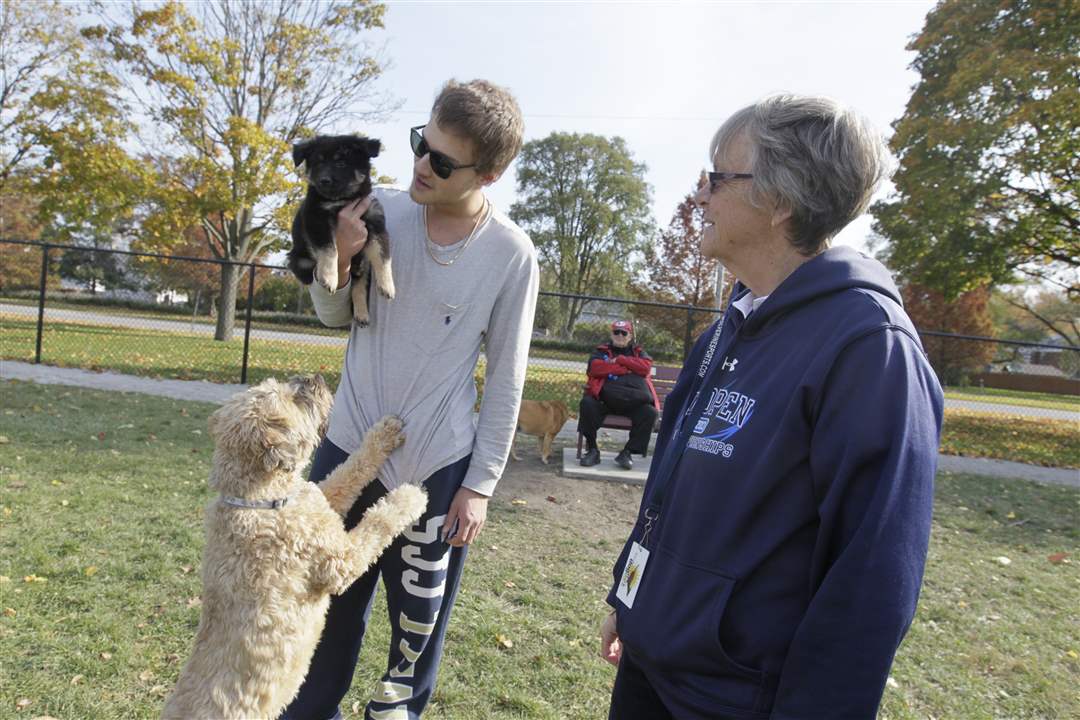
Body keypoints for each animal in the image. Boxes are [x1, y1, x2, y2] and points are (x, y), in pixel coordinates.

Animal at [162, 377, 427, 720]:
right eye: (292, 399)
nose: (312, 379)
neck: (258, 499)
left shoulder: (321, 499)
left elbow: (350, 470)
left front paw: (384, 433)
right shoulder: (340, 561)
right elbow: (378, 522)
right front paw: (409, 498)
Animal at [289, 134, 395, 325]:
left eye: (341, 163)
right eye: (318, 163)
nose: (324, 180)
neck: (344, 199)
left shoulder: (376, 223)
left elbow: (383, 257)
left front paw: (387, 285)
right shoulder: (317, 219)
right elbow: (330, 250)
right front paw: (329, 278)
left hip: (362, 263)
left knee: (358, 284)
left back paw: (361, 313)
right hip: (300, 261)